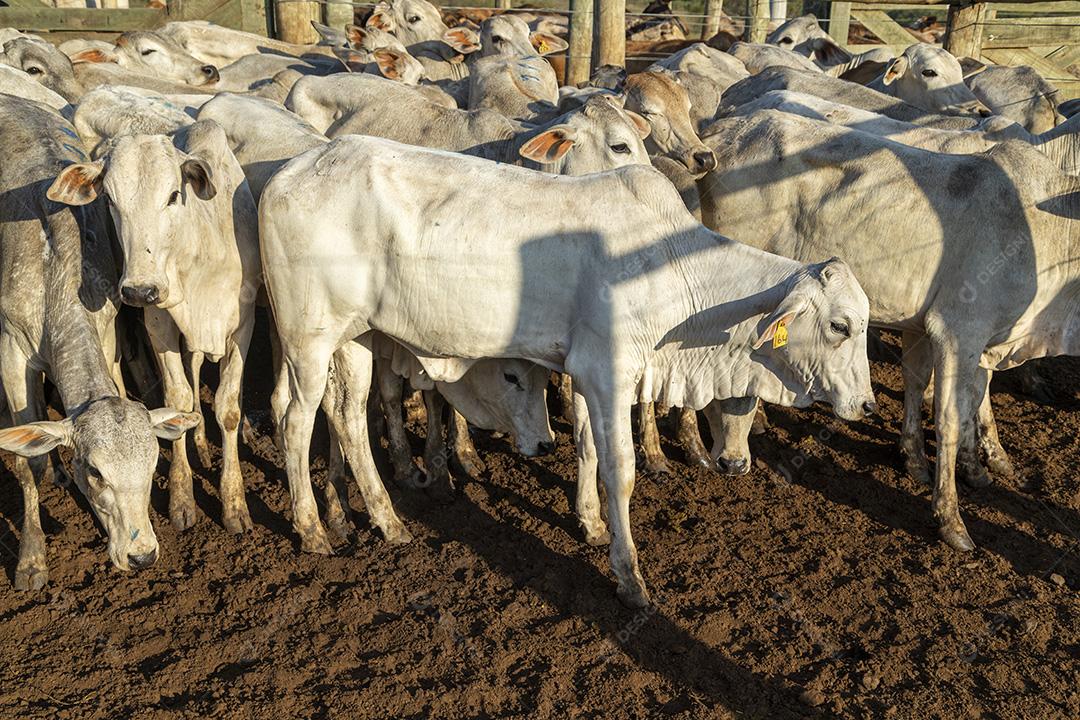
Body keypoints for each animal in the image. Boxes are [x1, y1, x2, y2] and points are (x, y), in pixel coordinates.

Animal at [0, 95, 198, 589]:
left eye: (152, 465)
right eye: (95, 471)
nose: (142, 556)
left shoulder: (107, 328)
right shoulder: (11, 349)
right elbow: (26, 460)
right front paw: (31, 560)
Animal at [49, 120, 261, 535]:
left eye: (174, 194)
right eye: (110, 199)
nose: (139, 289)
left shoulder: (241, 326)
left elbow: (227, 407)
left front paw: (234, 503)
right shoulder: (159, 324)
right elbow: (177, 400)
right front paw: (181, 498)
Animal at [258, 134, 875, 607]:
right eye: (841, 325)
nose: (868, 404)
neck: (674, 272)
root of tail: (289, 170)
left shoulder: (580, 371)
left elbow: (585, 446)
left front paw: (590, 522)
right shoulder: (609, 372)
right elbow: (620, 468)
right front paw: (629, 576)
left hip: (356, 337)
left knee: (346, 417)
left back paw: (387, 522)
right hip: (308, 338)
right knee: (293, 419)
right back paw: (313, 529)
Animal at [698, 110, 1080, 553]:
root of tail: (723, 130)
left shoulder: (969, 337)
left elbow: (954, 397)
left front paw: (953, 464)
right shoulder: (957, 330)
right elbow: (950, 417)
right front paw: (950, 519)